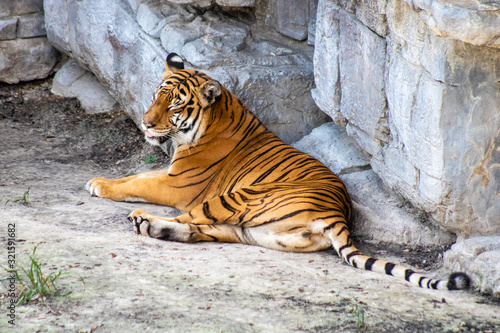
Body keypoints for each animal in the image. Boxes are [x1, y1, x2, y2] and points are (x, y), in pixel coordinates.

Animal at [84, 52, 470, 290]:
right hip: (252, 231)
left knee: (191, 220)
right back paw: (152, 226)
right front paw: (101, 180)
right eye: (156, 97)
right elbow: (135, 176)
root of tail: (338, 215)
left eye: (175, 105)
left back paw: (143, 220)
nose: (147, 123)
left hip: (235, 198)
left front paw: (98, 184)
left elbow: (136, 183)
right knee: (202, 231)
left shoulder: (177, 184)